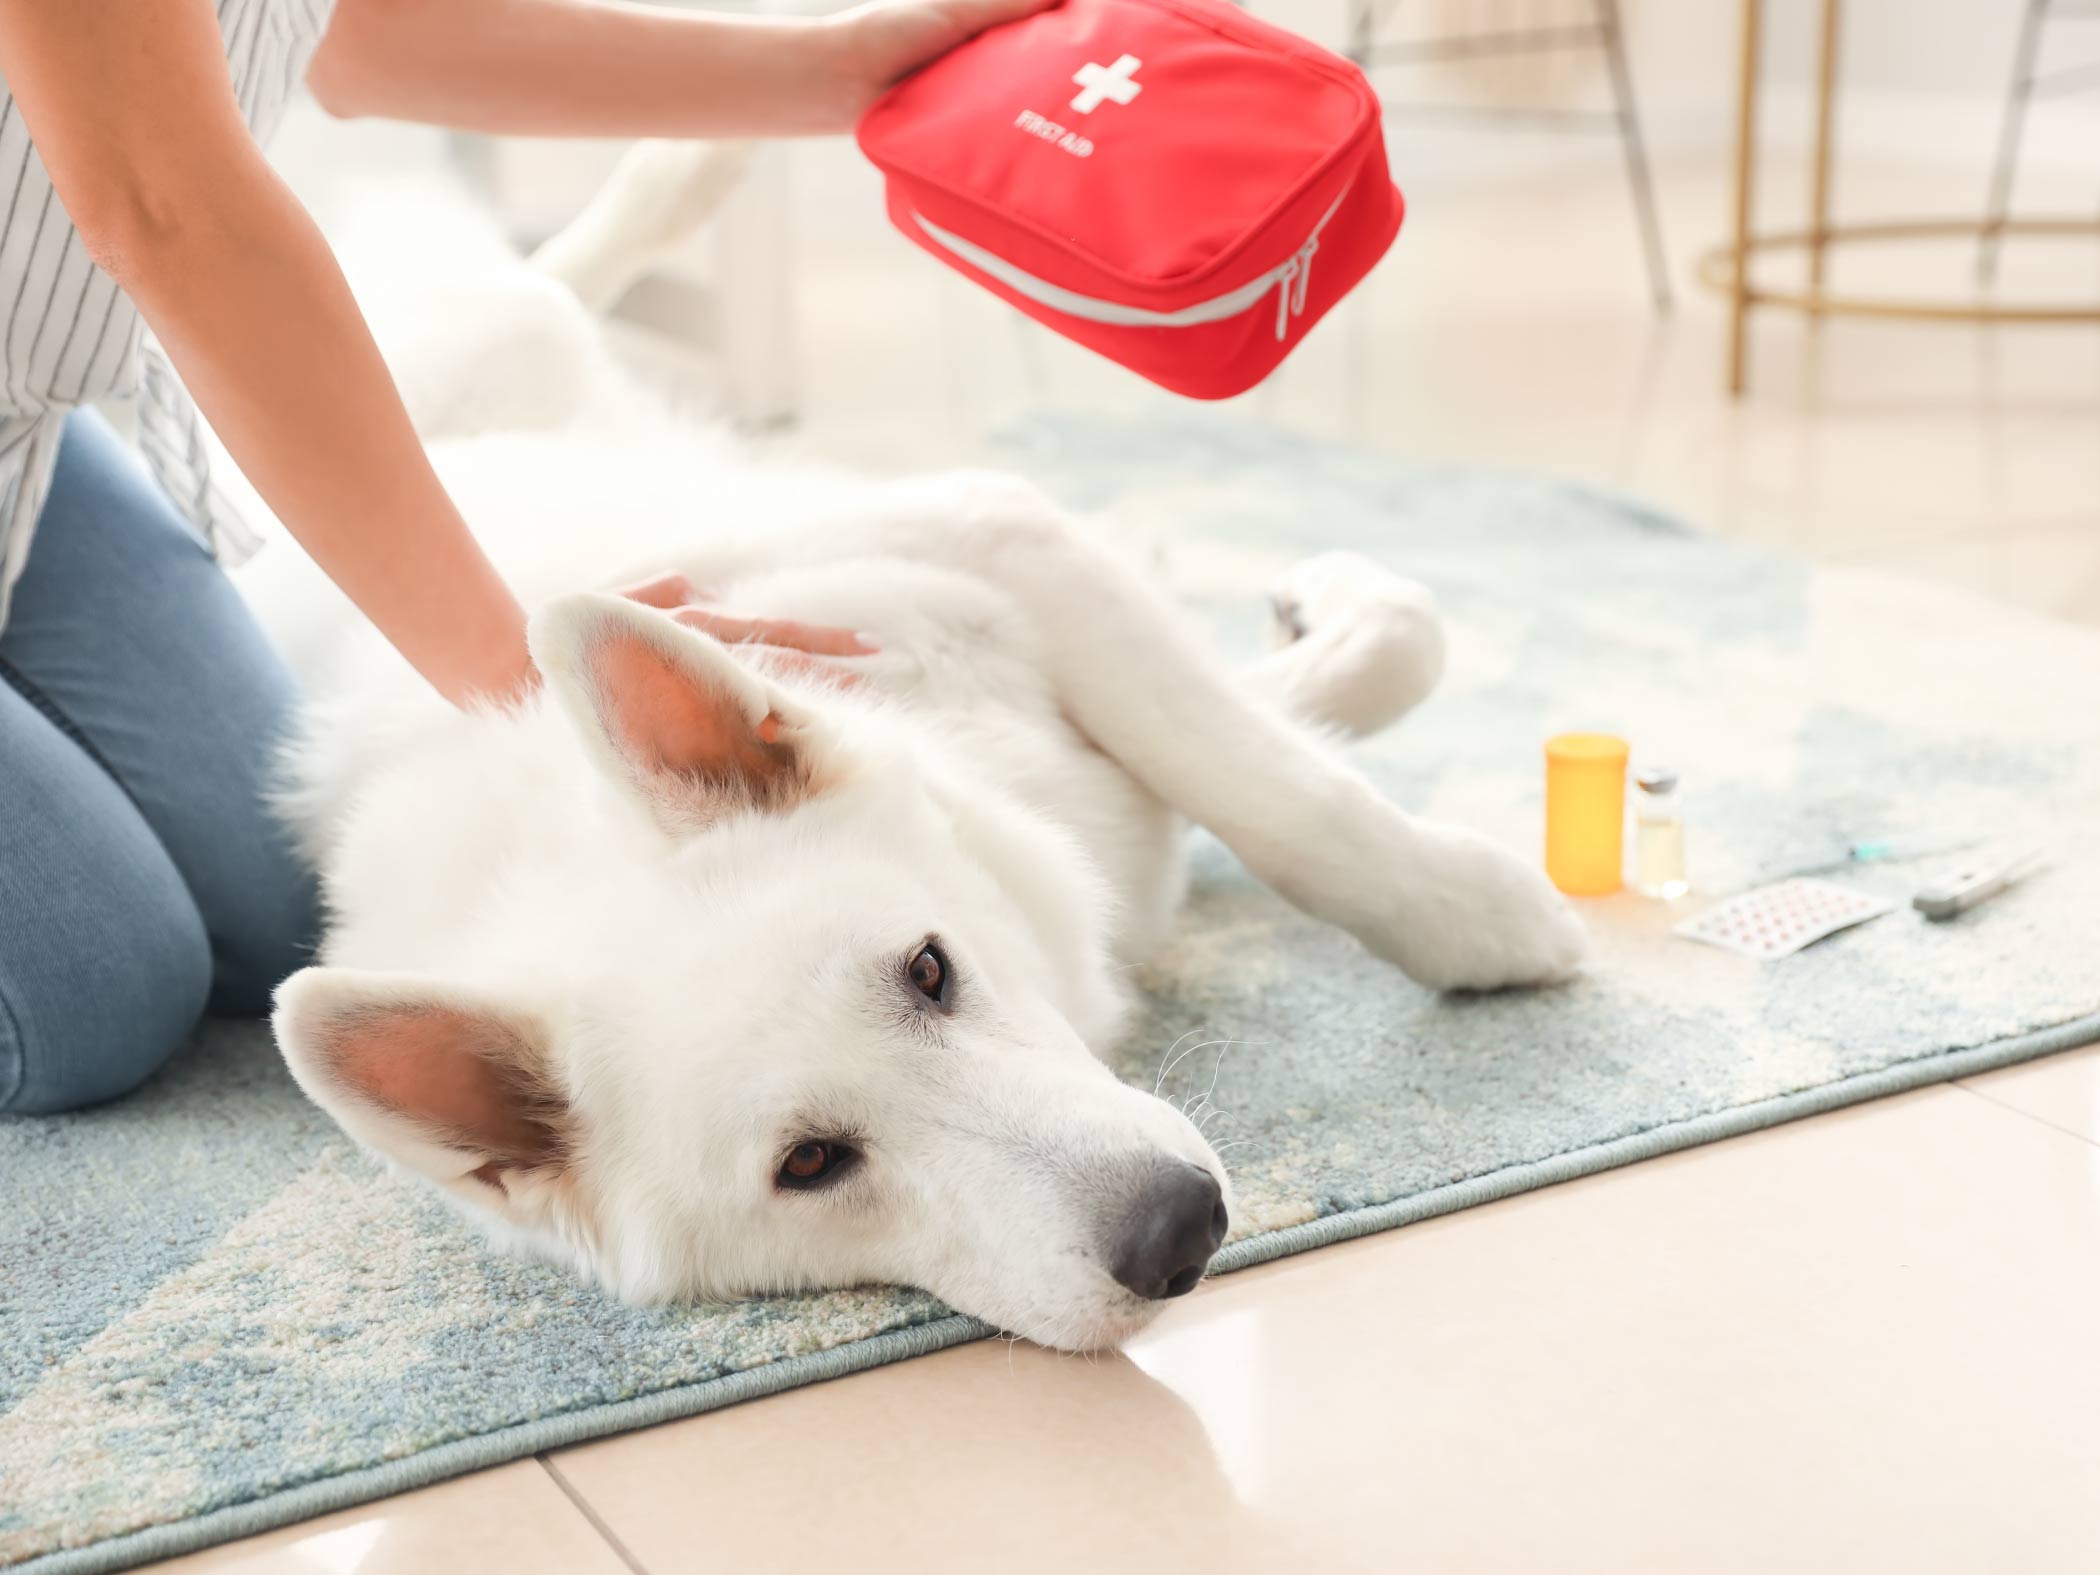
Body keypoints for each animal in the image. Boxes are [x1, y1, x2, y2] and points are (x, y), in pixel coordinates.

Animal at [254, 151, 1579, 1360]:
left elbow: (1291, 772)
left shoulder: (1000, 546)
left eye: (929, 971)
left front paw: (1475, 913)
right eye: (810, 1164)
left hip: (512, 361)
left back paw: (677, 175)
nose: (1180, 1231)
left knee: (545, 288)